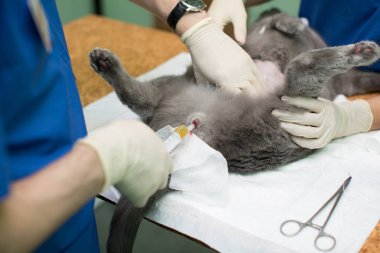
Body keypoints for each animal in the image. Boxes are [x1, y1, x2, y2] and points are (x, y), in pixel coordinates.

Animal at [88, 9, 380, 253]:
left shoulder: (347, 81)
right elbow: (276, 22)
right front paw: (290, 23)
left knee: (138, 97)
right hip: (283, 99)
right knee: (304, 65)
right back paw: (361, 50)